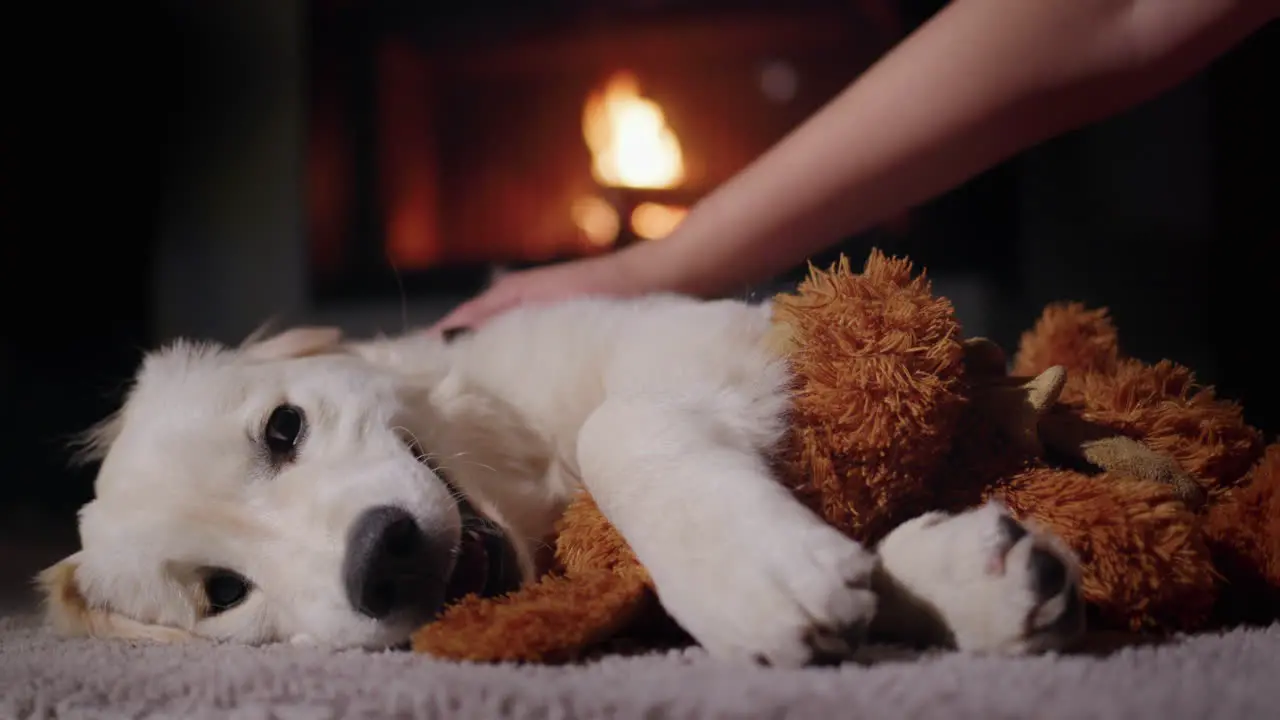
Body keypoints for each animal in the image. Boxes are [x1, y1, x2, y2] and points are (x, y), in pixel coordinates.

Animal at [37, 292, 1080, 661]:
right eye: (223, 593)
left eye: (283, 429)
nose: (381, 561)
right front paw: (961, 583)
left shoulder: (698, 331)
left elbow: (619, 428)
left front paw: (749, 573)